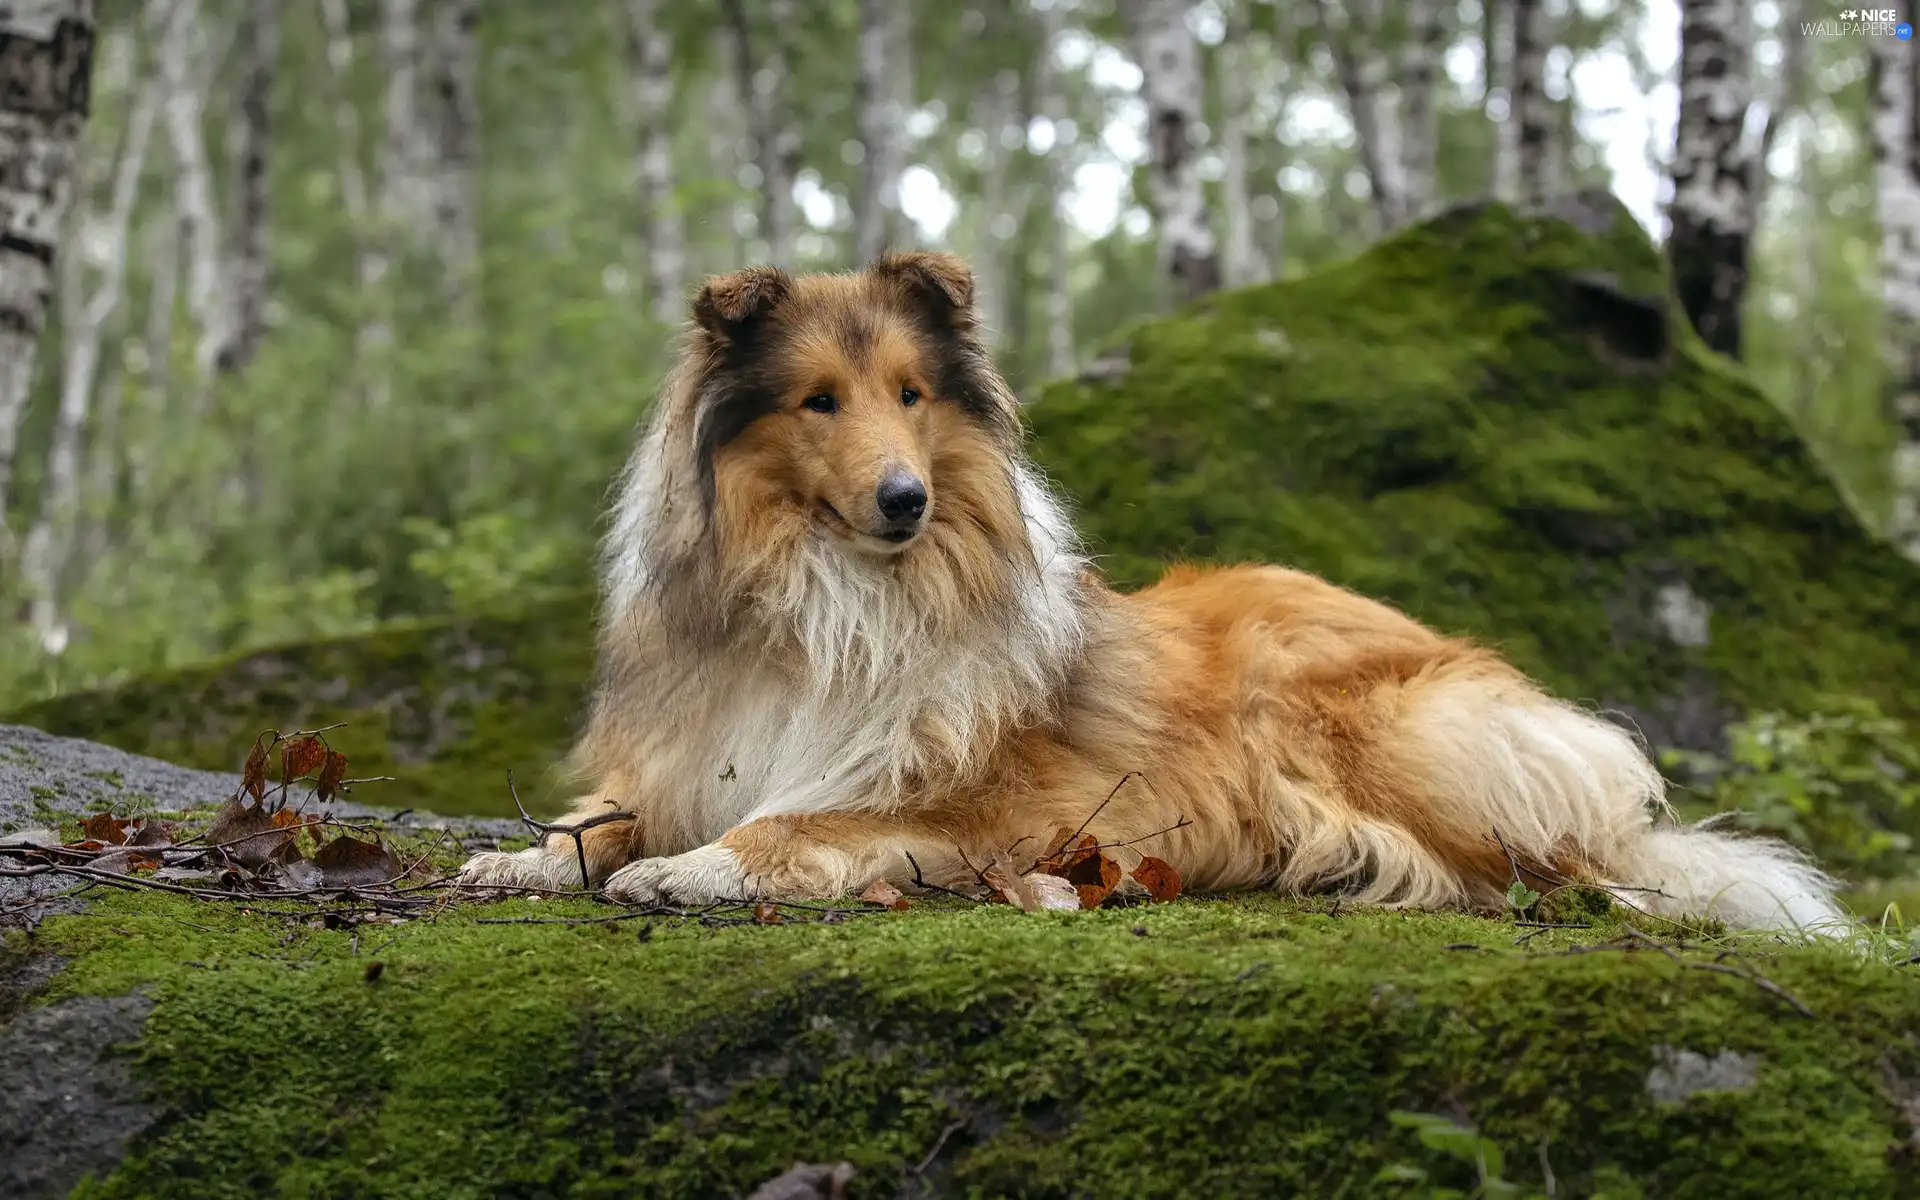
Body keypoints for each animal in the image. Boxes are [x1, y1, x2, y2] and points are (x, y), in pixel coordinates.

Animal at [456, 247, 1850, 933]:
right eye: (819, 403)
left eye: (911, 393)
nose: (906, 500)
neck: (839, 595)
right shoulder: (702, 752)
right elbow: (605, 819)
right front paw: (524, 858)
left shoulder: (987, 807)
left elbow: (792, 823)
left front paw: (686, 874)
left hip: (1368, 730)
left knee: (1576, 868)